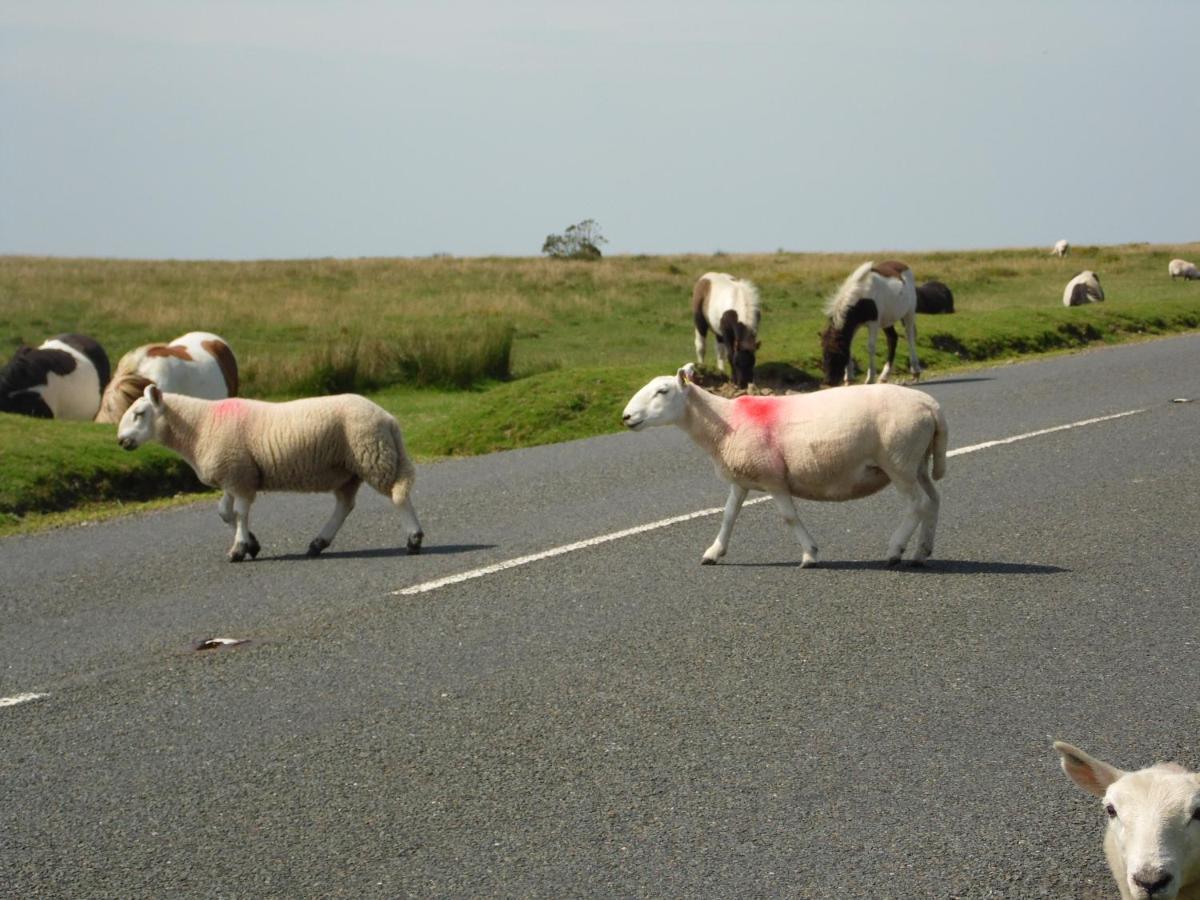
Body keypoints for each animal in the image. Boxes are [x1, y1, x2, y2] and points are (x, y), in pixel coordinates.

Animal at [113, 386, 422, 564]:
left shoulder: (238, 474)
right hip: (349, 469)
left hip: (371, 454)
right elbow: (225, 512)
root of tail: (388, 418)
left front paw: (238, 550)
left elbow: (238, 513)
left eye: (139, 413)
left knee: (397, 495)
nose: (120, 441)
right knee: (345, 504)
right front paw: (251, 543)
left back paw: (414, 539)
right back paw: (318, 543)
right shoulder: (235, 474)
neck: (199, 425)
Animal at [619, 364, 945, 564]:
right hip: (917, 462)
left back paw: (895, 550)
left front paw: (810, 554)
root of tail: (932, 406)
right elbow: (728, 515)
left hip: (898, 460)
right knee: (932, 501)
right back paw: (921, 552)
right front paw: (713, 552)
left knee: (917, 504)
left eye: (662, 391)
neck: (723, 423)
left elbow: (788, 517)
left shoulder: (772, 476)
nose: (626, 417)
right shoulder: (742, 477)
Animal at [820, 260, 921, 388]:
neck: (861, 296)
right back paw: (884, 376)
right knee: (892, 339)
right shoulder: (855, 326)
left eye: (838, 355)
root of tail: (903, 265)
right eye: (824, 354)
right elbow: (850, 347)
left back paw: (915, 371)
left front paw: (870, 379)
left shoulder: (873, 324)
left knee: (909, 336)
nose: (828, 382)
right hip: (887, 321)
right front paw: (849, 378)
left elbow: (871, 347)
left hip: (909, 313)